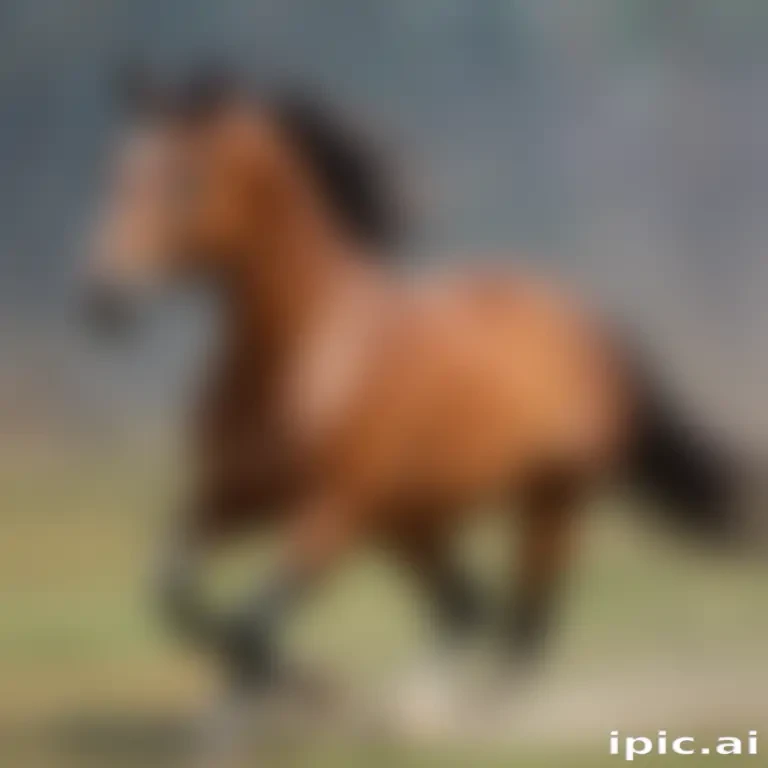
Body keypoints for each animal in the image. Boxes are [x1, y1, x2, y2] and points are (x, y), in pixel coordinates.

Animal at [82, 68, 739, 725]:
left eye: (185, 178)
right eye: (119, 172)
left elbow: (254, 620)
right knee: (467, 604)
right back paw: (412, 700)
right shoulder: (227, 496)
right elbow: (173, 592)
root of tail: (586, 320)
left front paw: (271, 699)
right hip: (409, 520)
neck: (306, 360)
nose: (103, 299)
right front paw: (296, 686)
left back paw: (456, 708)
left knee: (522, 623)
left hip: (550, 499)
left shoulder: (332, 510)